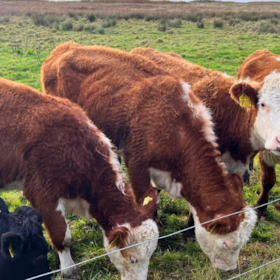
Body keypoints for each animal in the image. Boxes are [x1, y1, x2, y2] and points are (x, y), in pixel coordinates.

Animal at [40, 42, 258, 272]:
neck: (175, 125)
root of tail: (65, 47)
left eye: (243, 242)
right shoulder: (137, 165)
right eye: (226, 244)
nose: (230, 270)